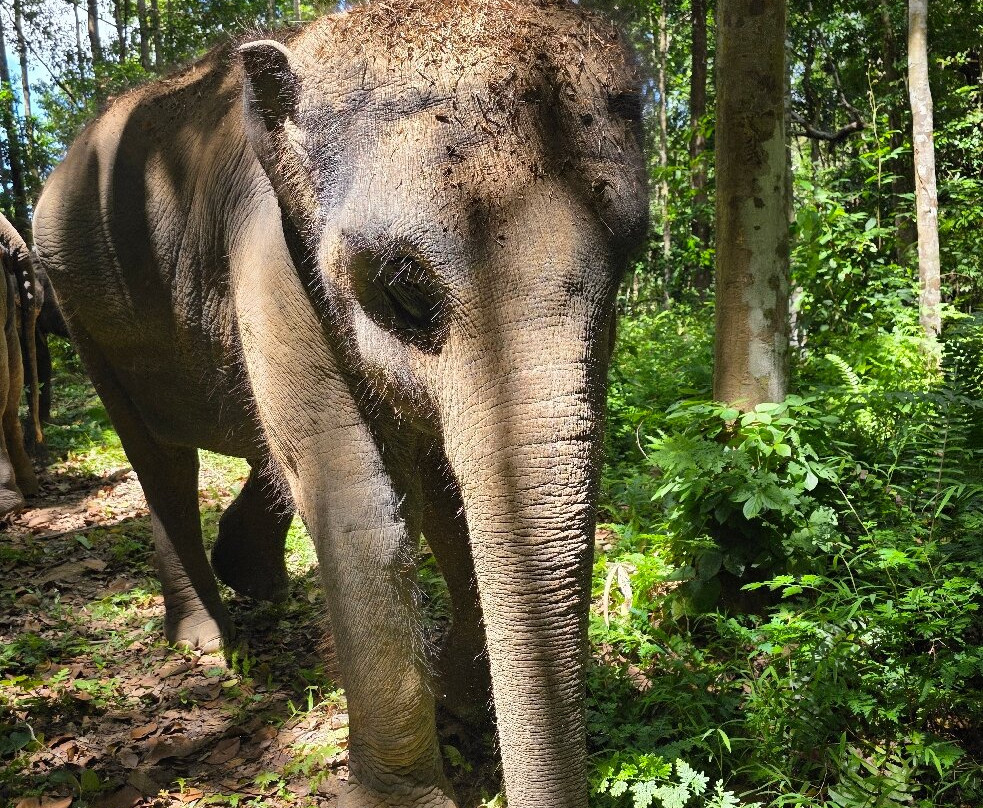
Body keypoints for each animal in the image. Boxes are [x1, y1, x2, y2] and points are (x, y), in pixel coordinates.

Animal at [33, 0, 647, 805]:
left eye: (630, 261)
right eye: (404, 290)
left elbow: (442, 493)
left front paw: (461, 707)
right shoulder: (269, 258)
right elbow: (361, 509)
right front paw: (405, 793)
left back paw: (253, 583)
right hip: (78, 311)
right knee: (161, 462)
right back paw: (206, 644)